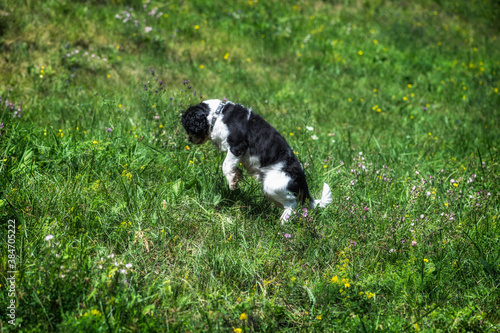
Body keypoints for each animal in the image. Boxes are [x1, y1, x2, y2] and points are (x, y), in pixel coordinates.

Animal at [181, 99, 332, 223]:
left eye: (188, 128)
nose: (189, 139)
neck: (218, 115)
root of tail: (301, 178)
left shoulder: (237, 146)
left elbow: (226, 165)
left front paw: (232, 182)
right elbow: (233, 167)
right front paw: (237, 175)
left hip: (273, 185)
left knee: (292, 204)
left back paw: (282, 223)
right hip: (270, 191)